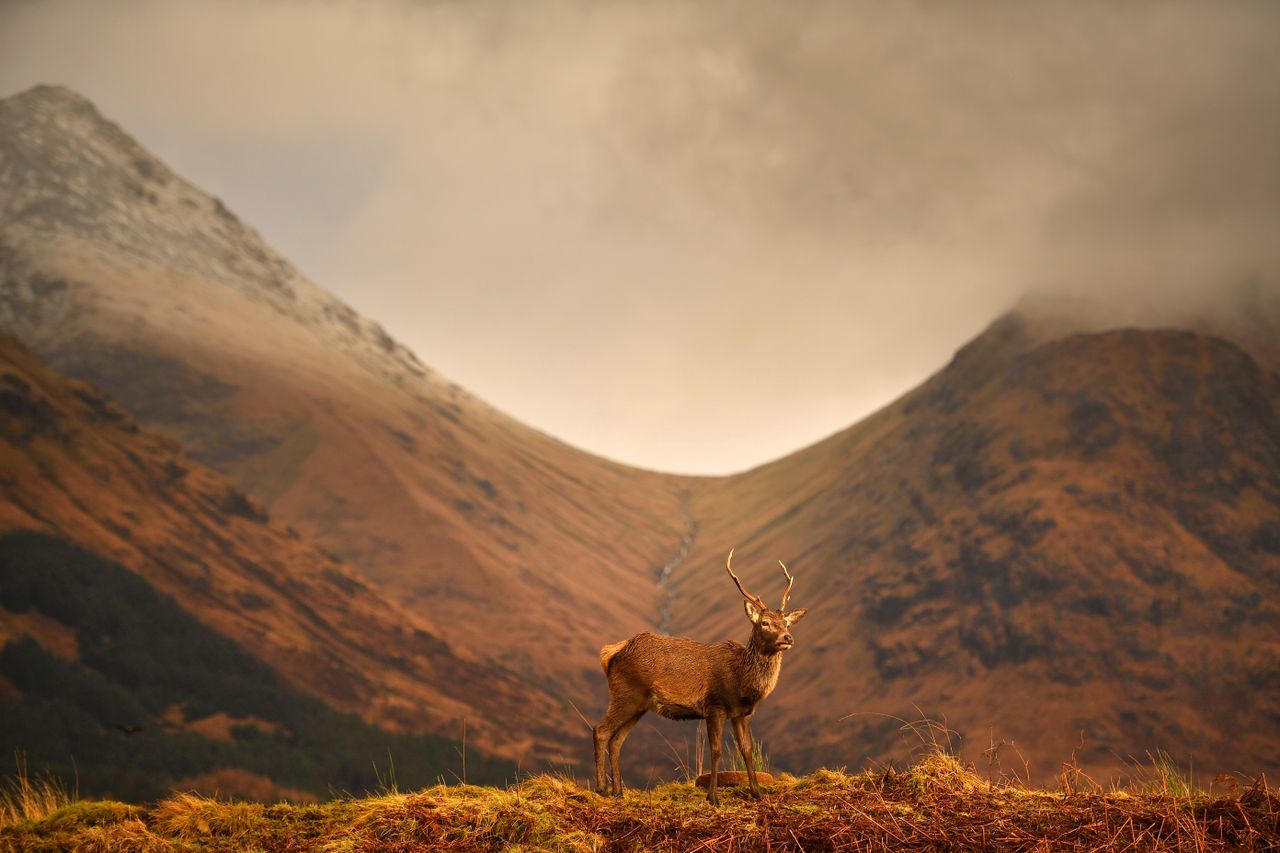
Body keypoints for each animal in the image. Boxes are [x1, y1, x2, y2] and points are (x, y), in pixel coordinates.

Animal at [591, 548, 808, 799]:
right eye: (764, 622)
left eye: (787, 624)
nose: (788, 638)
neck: (741, 682)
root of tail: (610, 652)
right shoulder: (714, 706)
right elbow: (716, 750)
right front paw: (713, 797)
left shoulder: (741, 713)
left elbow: (746, 749)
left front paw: (757, 793)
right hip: (625, 694)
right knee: (601, 730)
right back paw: (602, 788)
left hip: (639, 705)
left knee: (617, 740)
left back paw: (618, 791)